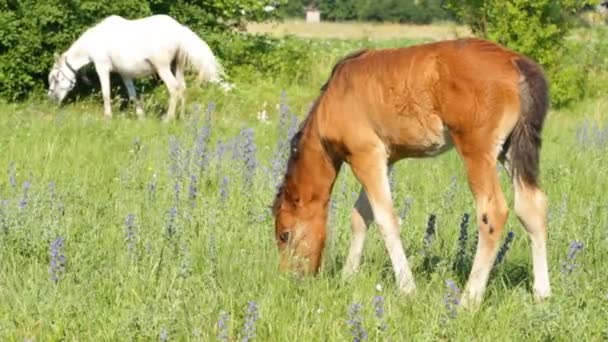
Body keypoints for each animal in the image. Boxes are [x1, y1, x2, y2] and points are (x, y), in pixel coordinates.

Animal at [47, 14, 232, 121]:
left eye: (56, 78)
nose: (52, 99)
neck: (95, 41)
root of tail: (179, 30)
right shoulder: (125, 74)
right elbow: (133, 95)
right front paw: (141, 117)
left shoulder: (102, 68)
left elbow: (106, 94)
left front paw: (107, 118)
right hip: (177, 67)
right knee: (182, 88)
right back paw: (180, 117)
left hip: (163, 68)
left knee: (174, 88)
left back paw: (168, 119)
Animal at [270, 38, 552, 306]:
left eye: (285, 235)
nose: (289, 278)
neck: (333, 99)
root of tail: (514, 62)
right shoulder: (383, 160)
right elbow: (360, 217)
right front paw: (347, 277)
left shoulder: (365, 155)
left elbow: (385, 220)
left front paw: (407, 289)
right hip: (510, 150)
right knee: (532, 207)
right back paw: (542, 294)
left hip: (477, 151)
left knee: (492, 214)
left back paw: (468, 300)